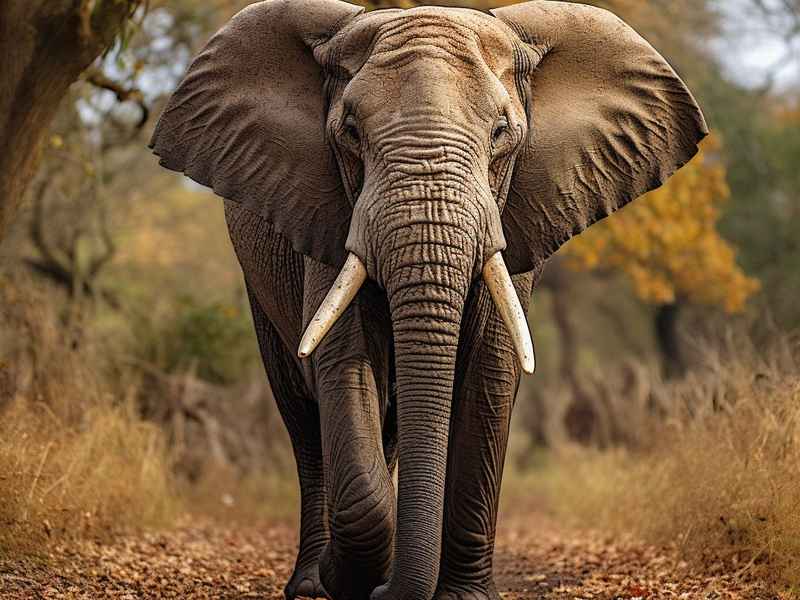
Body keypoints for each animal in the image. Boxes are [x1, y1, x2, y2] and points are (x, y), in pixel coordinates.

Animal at [149, 1, 707, 598]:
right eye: (350, 132)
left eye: (502, 132)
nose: (381, 591)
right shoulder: (327, 214)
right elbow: (344, 363)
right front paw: (353, 580)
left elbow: (490, 370)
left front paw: (459, 595)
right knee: (303, 417)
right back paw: (313, 583)